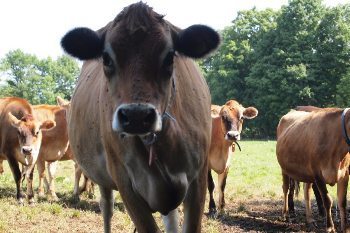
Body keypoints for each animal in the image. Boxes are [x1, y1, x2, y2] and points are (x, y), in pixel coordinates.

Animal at [60, 2, 219, 233]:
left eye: (170, 56)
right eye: (106, 58)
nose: (136, 115)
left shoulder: (198, 180)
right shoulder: (125, 183)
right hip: (103, 178)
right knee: (106, 207)